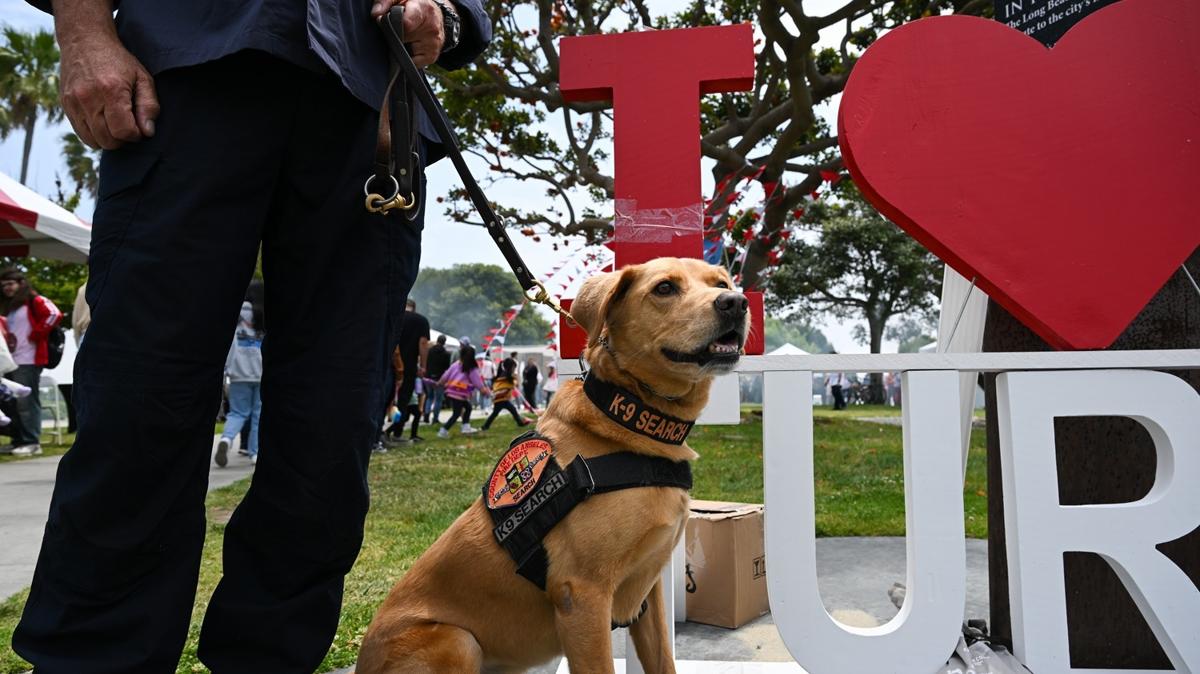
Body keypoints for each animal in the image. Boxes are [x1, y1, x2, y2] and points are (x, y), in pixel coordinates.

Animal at [357, 256, 748, 671]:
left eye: (721, 283)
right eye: (664, 288)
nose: (736, 303)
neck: (630, 420)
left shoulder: (649, 593)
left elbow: (663, 660)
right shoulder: (583, 596)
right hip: (459, 641)